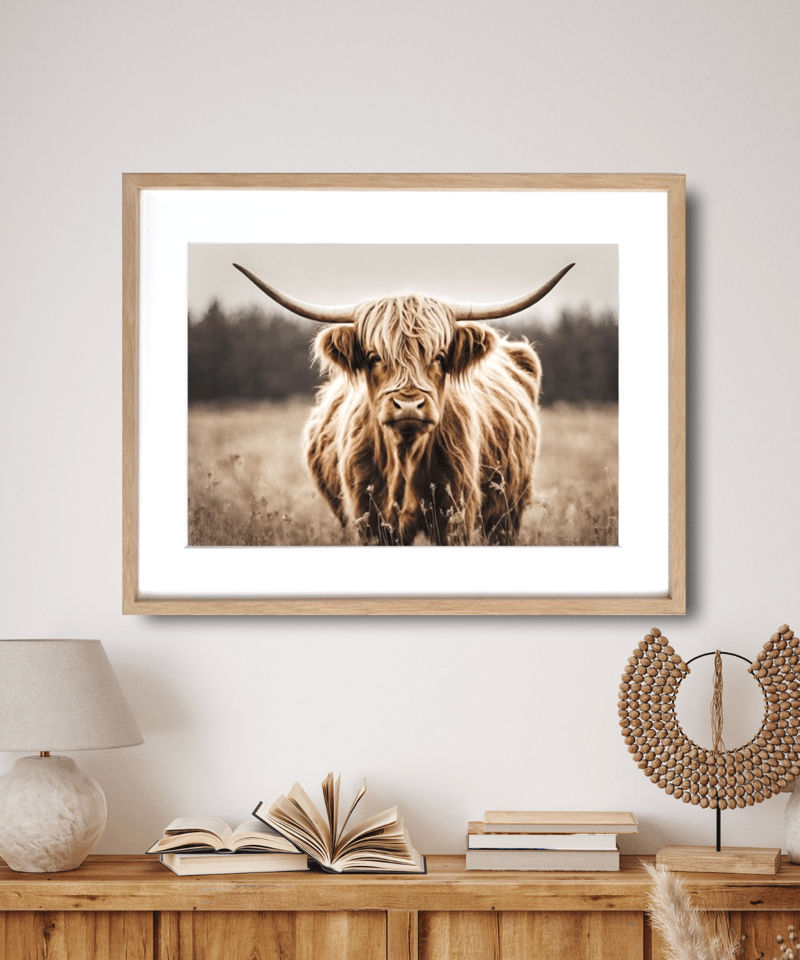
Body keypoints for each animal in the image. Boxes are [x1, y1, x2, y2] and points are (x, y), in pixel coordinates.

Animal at [233, 261, 574, 545]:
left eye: (439, 356)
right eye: (374, 356)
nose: (409, 406)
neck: (405, 457)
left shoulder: (455, 517)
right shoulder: (370, 521)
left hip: (507, 511)